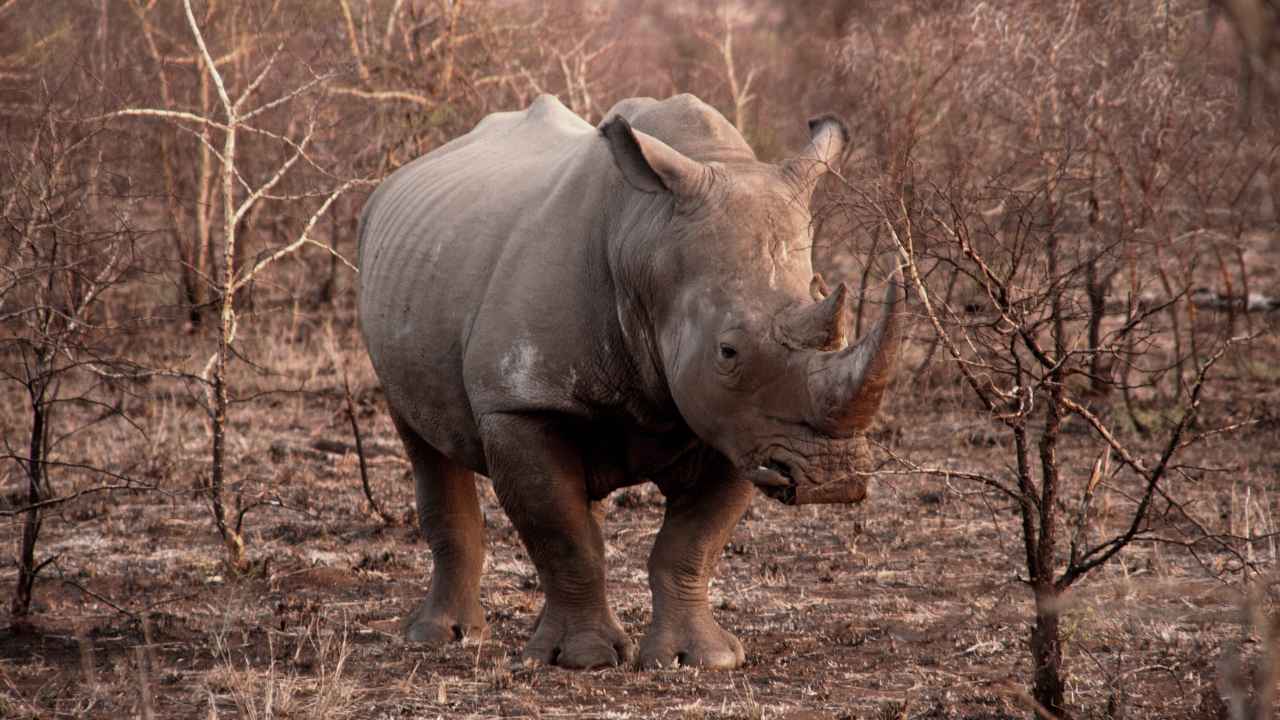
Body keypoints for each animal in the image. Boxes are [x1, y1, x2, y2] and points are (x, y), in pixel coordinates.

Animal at [357, 94, 903, 670]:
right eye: (728, 351)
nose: (833, 479)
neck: (647, 239)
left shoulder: (742, 427)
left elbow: (692, 542)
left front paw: (700, 659)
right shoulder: (518, 403)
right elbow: (562, 535)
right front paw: (583, 660)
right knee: (423, 443)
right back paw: (441, 637)